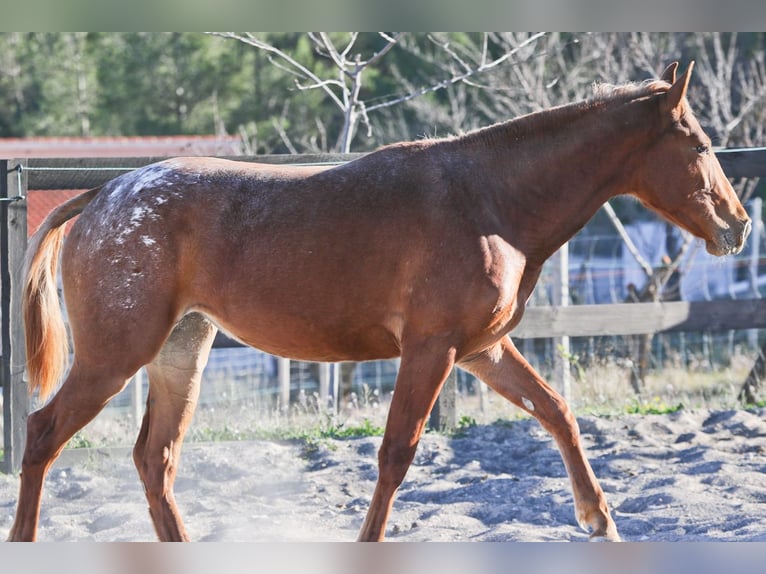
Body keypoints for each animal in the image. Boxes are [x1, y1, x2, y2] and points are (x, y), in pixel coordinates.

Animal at [6, 63, 752, 544]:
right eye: (699, 144)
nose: (739, 225)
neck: (489, 202)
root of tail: (101, 195)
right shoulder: (431, 349)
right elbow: (397, 451)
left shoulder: (482, 350)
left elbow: (558, 412)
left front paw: (600, 519)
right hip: (115, 356)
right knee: (43, 434)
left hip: (179, 353)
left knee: (154, 460)